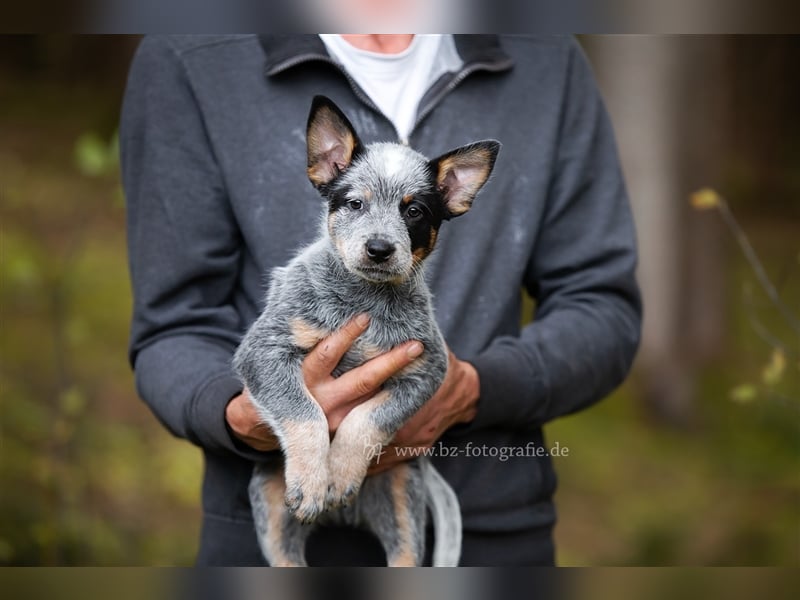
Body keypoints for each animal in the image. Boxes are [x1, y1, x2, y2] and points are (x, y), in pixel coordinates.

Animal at [233, 95, 500, 568]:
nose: (379, 248)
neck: (365, 301)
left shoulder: (425, 370)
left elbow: (367, 419)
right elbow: (305, 410)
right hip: (274, 522)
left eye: (413, 210)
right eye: (355, 203)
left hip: (404, 511)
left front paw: (338, 473)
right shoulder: (264, 350)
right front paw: (313, 481)